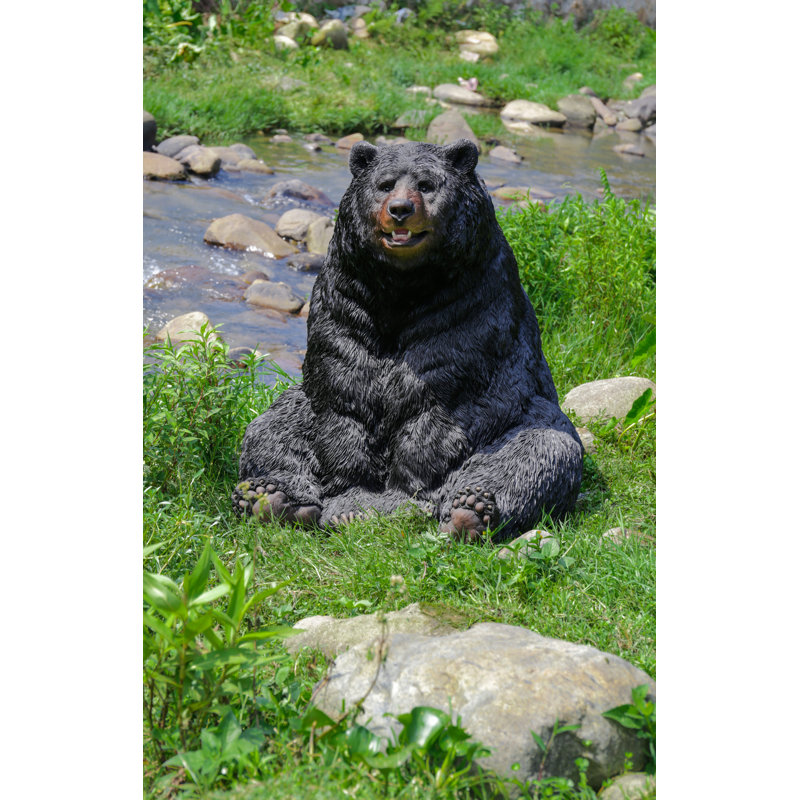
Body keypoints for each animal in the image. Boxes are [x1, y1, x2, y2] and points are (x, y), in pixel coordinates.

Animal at [232, 139, 583, 541]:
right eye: (385, 184)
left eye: (426, 184)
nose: (400, 209)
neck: (403, 290)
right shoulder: (347, 299)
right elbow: (343, 381)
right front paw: (353, 496)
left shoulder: (469, 306)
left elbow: (440, 396)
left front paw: (396, 497)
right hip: (299, 410)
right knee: (269, 431)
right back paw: (269, 497)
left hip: (524, 417)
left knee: (538, 450)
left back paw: (470, 511)